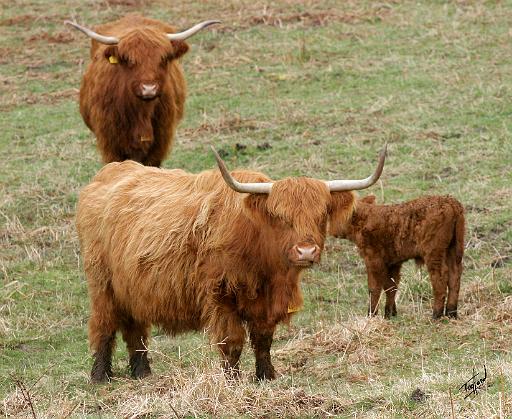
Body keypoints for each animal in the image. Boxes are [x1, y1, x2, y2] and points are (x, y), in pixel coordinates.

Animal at [65, 16, 218, 167]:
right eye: (128, 59)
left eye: (164, 58)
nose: (149, 88)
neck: (141, 113)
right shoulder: (110, 144)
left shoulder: (160, 143)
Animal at [76, 146, 386, 382]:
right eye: (279, 216)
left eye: (321, 214)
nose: (306, 251)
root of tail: (112, 171)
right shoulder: (221, 295)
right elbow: (232, 342)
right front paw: (232, 381)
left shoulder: (266, 303)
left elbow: (263, 340)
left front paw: (266, 376)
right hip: (102, 283)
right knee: (104, 325)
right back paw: (100, 376)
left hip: (132, 288)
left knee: (136, 330)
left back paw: (142, 373)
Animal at [334, 195, 466, 320]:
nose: (334, 232)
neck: (364, 219)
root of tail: (451, 202)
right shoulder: (393, 262)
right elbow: (391, 286)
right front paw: (390, 314)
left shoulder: (373, 259)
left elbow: (374, 287)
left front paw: (371, 315)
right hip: (453, 249)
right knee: (455, 276)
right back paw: (451, 313)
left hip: (434, 252)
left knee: (440, 277)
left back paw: (436, 315)